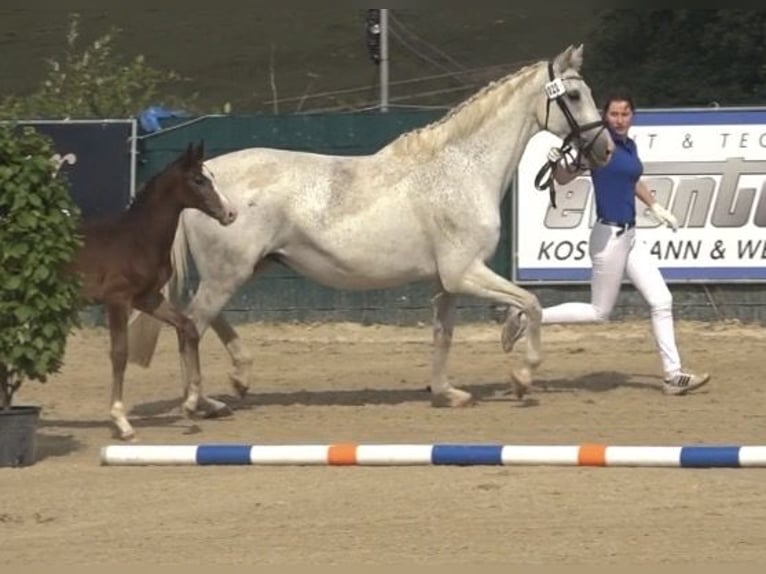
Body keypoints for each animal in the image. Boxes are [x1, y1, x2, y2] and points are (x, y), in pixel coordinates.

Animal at [66, 142, 237, 440]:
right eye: (198, 180)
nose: (230, 214)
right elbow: (119, 353)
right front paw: (121, 422)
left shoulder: (147, 298)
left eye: (212, 176)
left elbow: (188, 327)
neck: (137, 239)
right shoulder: (117, 299)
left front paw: (191, 404)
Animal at [128, 44, 613, 414]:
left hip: (243, 269)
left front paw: (449, 392)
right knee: (192, 323)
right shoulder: (464, 272)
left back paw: (238, 380)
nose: (605, 148)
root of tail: (204, 180)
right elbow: (531, 302)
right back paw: (199, 403)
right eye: (572, 95)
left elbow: (446, 332)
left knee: (201, 318)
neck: (462, 169)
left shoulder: (448, 281)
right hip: (229, 273)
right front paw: (523, 375)